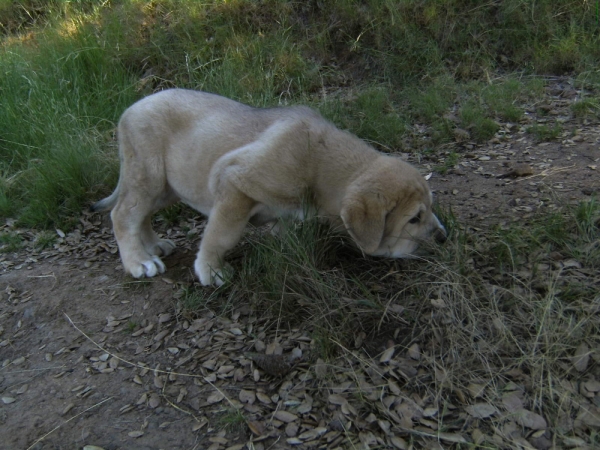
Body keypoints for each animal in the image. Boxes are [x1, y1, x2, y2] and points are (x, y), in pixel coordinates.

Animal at [90, 89, 446, 284]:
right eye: (414, 218)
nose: (444, 237)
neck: (319, 164)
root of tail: (129, 109)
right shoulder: (234, 184)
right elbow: (221, 235)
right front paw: (211, 270)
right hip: (148, 176)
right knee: (123, 215)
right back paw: (138, 262)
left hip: (167, 186)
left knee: (141, 215)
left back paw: (153, 246)